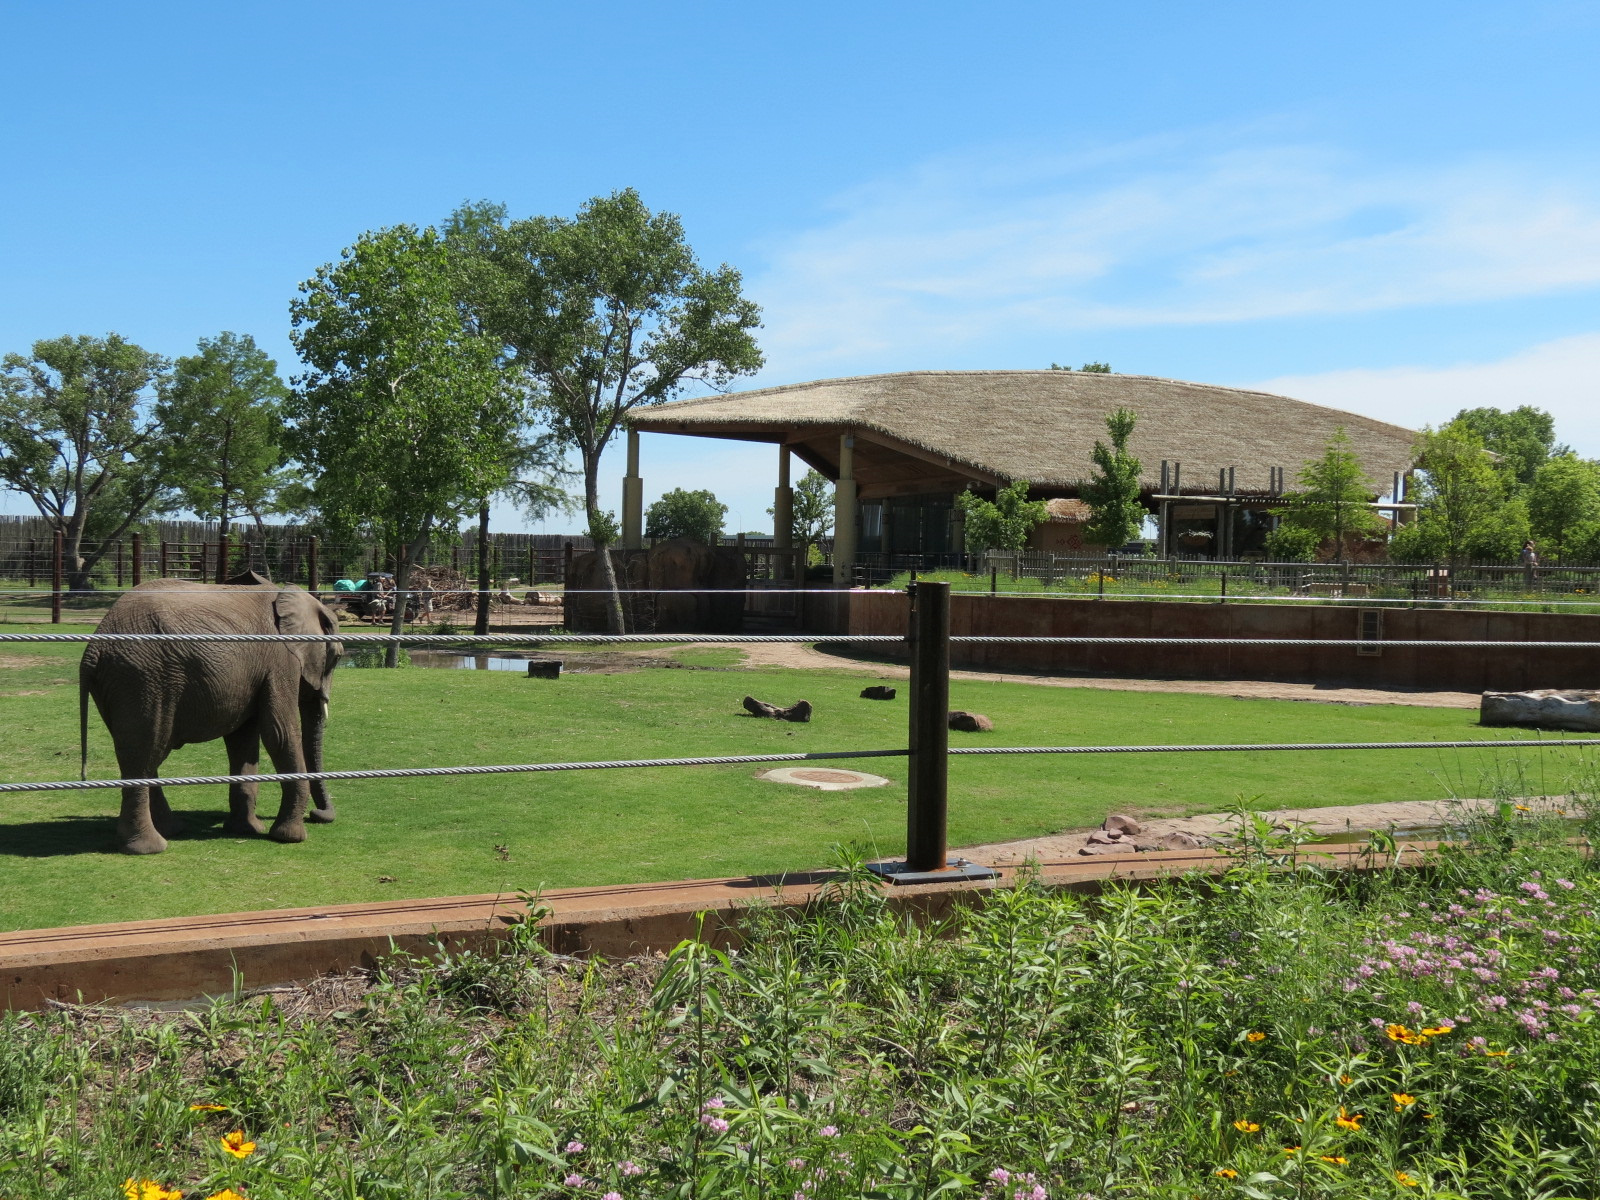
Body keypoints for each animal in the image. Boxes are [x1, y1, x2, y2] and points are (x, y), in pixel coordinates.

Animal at [79, 578, 343, 854]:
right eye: (337, 657)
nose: (317, 815)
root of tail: (93, 649)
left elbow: (243, 741)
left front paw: (246, 830)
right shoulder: (281, 661)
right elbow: (279, 733)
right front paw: (289, 837)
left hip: (122, 684)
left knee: (143, 751)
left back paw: (170, 830)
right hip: (141, 679)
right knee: (143, 753)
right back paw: (150, 847)